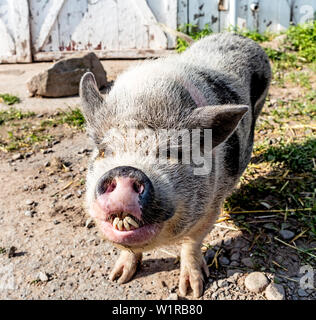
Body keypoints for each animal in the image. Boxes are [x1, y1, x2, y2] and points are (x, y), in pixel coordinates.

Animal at [79, 32, 272, 298]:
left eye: (174, 153)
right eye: (103, 151)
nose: (125, 171)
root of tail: (236, 35)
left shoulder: (212, 206)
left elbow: (192, 242)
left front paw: (192, 290)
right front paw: (118, 278)